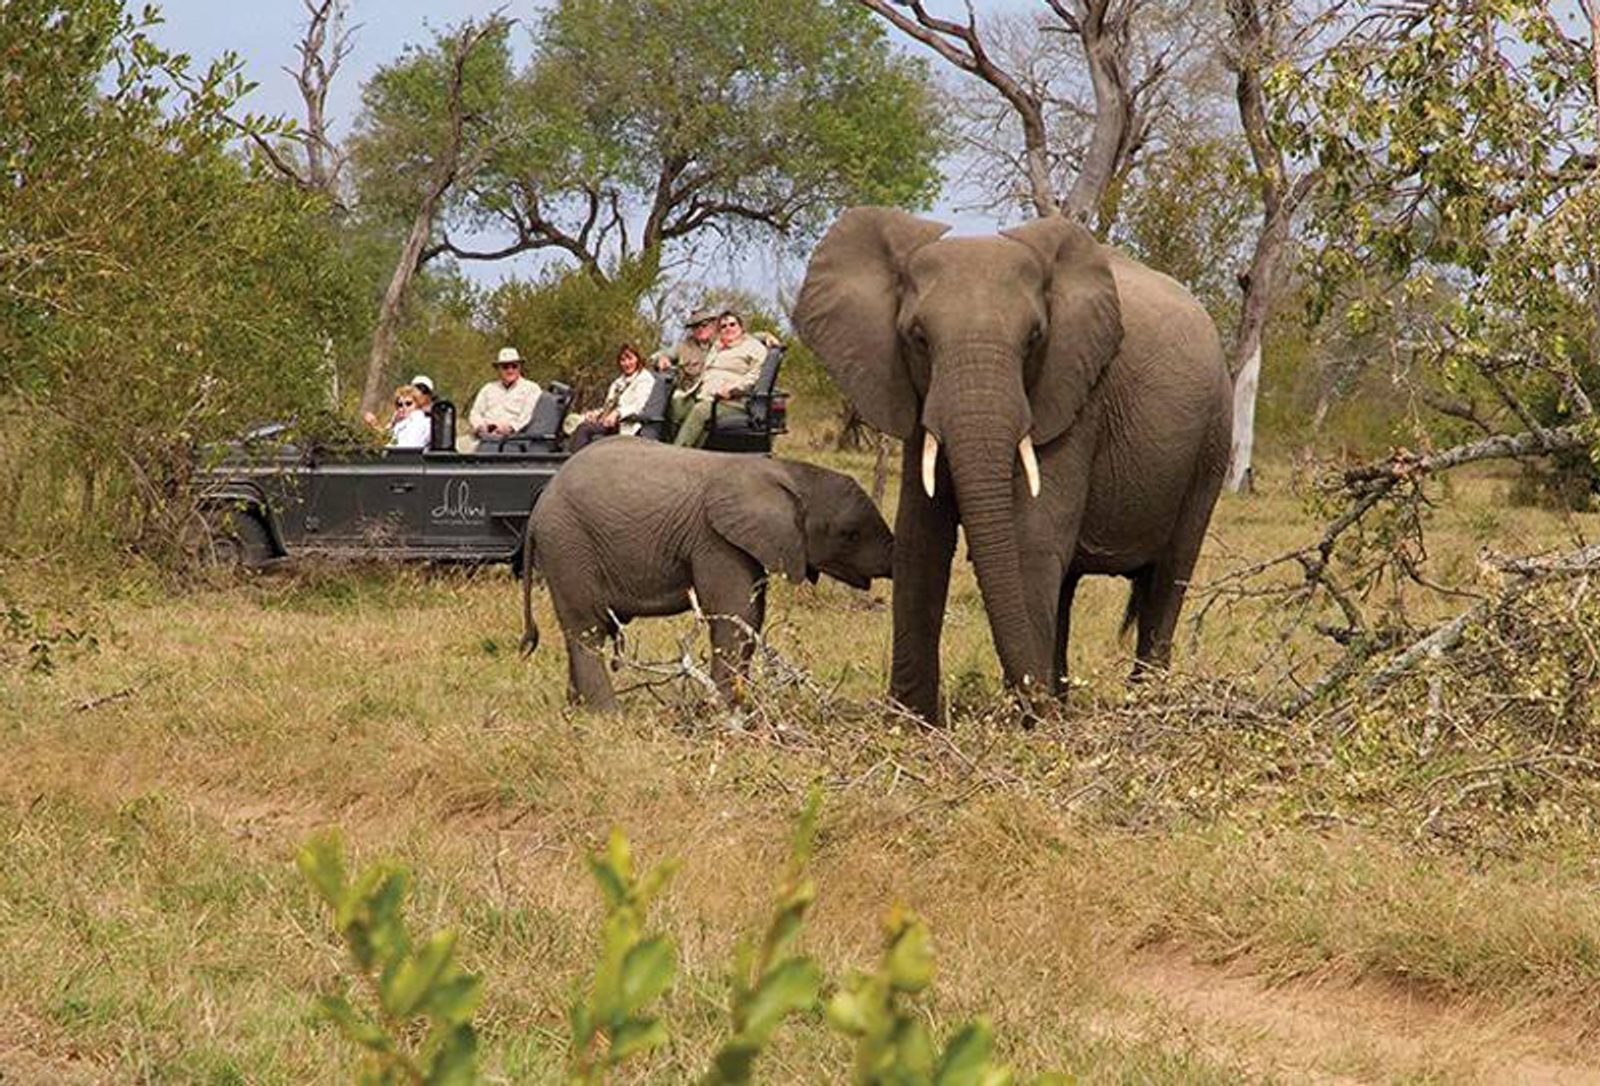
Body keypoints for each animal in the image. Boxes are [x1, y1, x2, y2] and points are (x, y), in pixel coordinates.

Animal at [520, 437, 893, 709]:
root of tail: (538, 508)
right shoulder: (714, 539)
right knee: (587, 630)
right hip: (569, 544)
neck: (787, 471)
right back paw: (608, 715)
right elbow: (734, 614)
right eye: (849, 534)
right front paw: (723, 711)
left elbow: (752, 616)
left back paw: (575, 710)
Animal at [793, 207, 1232, 723]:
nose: (1034, 708)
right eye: (918, 338)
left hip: (1212, 440)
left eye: (1034, 339)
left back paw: (1138, 705)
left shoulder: (1076, 395)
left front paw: (1027, 722)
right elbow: (921, 539)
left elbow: (1030, 541)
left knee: (1170, 574)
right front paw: (910, 721)